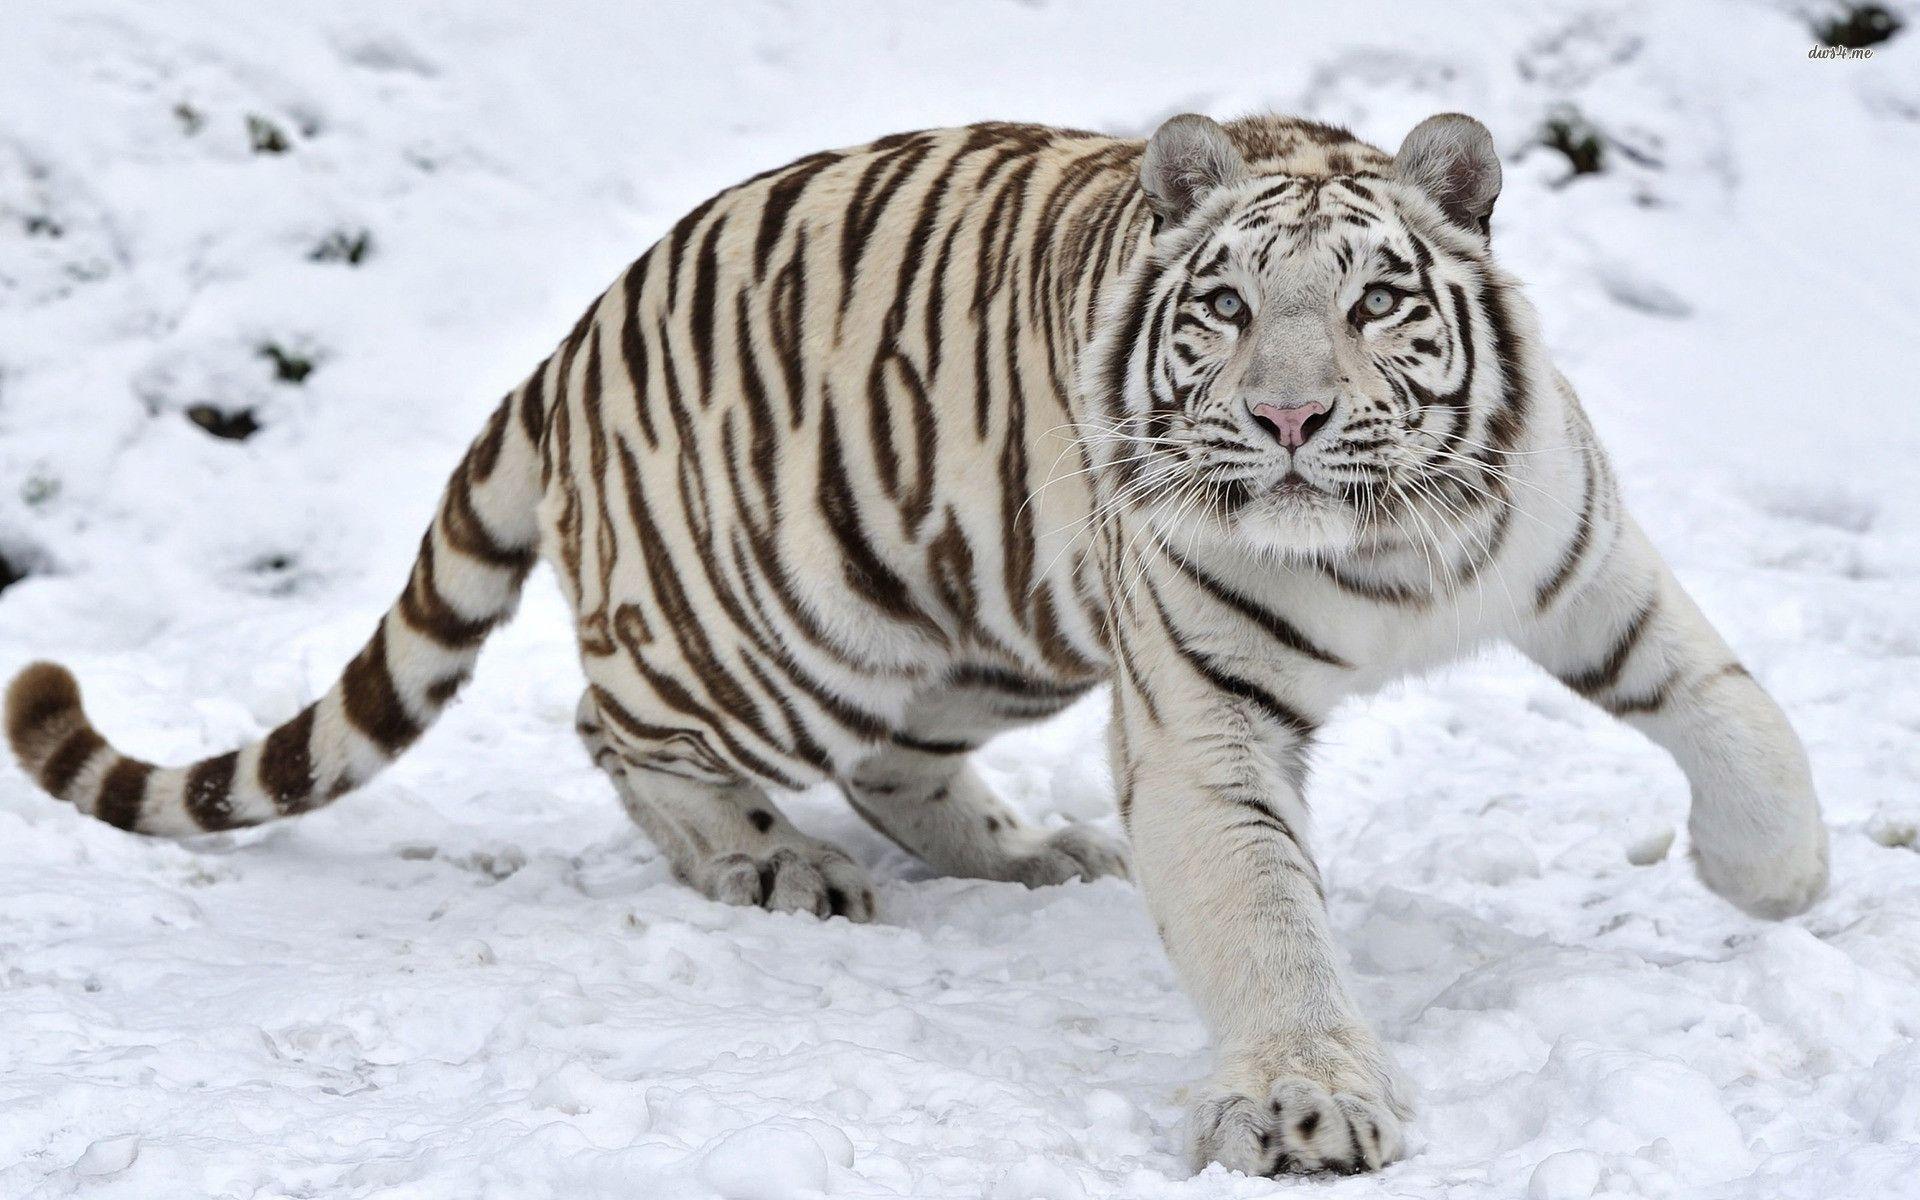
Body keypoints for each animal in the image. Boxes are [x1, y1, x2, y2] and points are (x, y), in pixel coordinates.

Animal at [4, 110, 1829, 1177]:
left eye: (1379, 302)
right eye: (1229, 308)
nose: (1292, 418)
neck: (1381, 548)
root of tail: (571, 338)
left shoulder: (1582, 560)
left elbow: (1737, 710)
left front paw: (1773, 883)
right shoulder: (1205, 726)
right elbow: (1272, 931)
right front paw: (1306, 1103)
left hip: (980, 620)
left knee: (894, 761)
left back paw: (1027, 855)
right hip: (764, 627)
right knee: (618, 725)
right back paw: (772, 864)